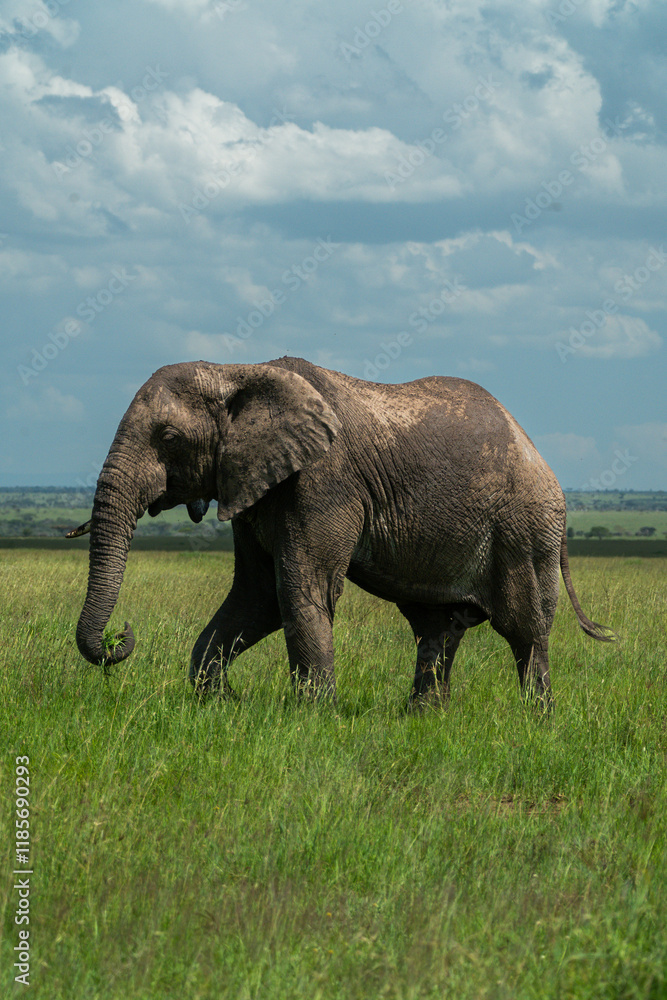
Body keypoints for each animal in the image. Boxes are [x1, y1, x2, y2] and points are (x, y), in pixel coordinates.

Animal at [74, 356, 614, 708]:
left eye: (168, 438)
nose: (123, 634)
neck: (236, 368)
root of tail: (539, 455)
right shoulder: (254, 485)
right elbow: (256, 596)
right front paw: (220, 703)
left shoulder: (323, 480)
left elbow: (298, 589)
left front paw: (310, 718)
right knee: (438, 628)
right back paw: (423, 720)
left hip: (525, 531)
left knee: (525, 629)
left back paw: (535, 720)